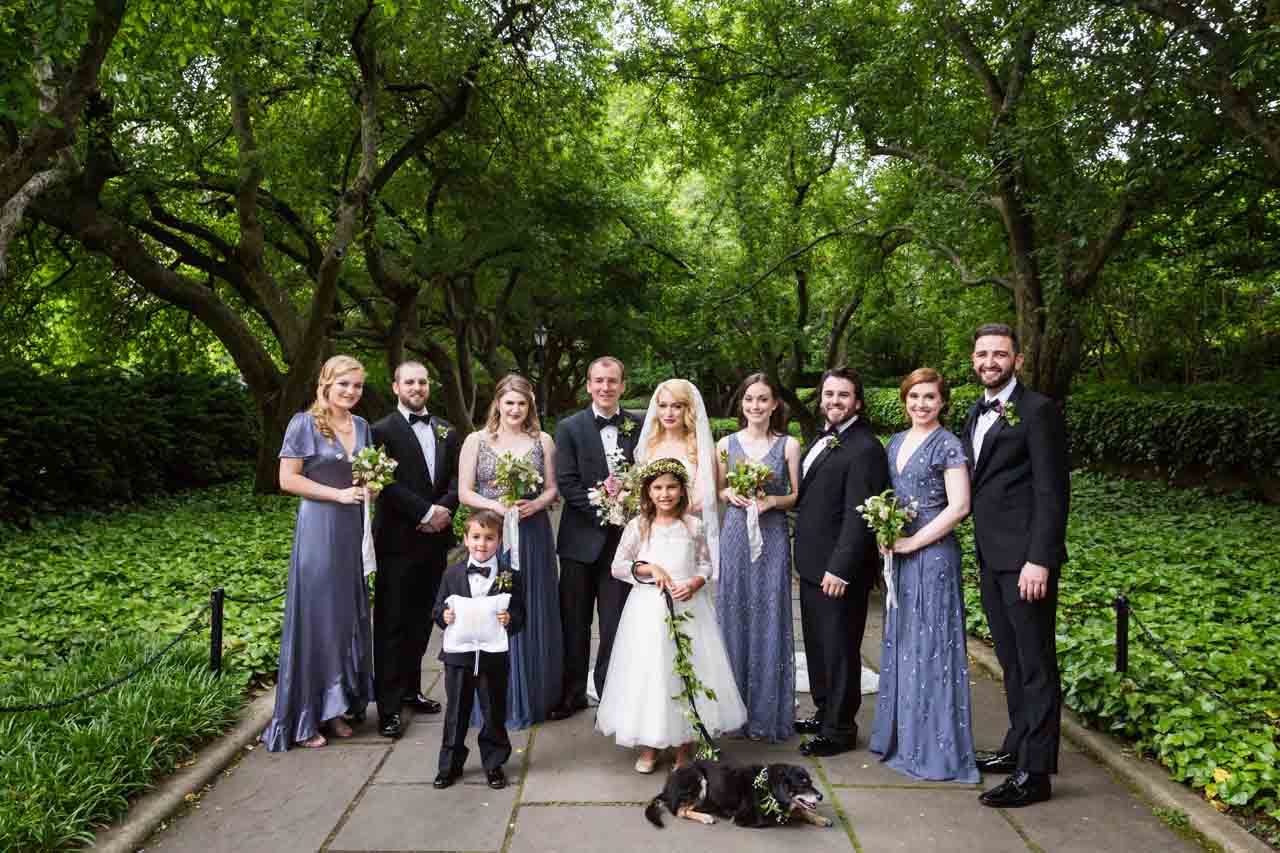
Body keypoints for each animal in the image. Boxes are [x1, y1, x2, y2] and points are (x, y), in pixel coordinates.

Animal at [645, 758, 834, 824]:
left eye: (811, 782)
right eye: (802, 784)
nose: (820, 796)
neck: (769, 786)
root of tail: (666, 787)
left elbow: (801, 810)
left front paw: (821, 819)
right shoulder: (749, 818)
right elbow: (785, 814)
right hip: (698, 778)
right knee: (680, 811)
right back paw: (705, 817)